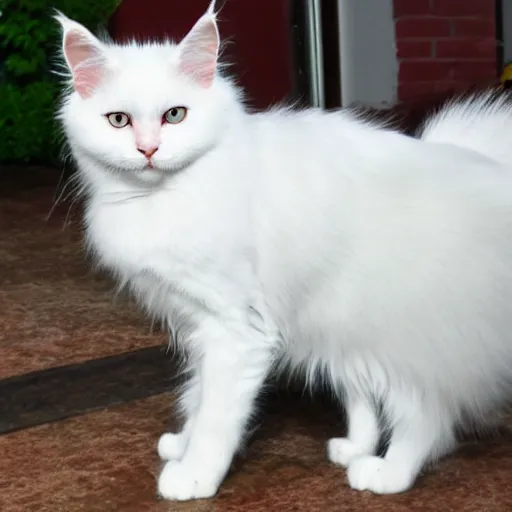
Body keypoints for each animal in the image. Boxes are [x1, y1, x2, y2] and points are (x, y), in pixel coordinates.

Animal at [57, 2, 512, 502]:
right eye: (118, 120)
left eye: (175, 115)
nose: (148, 150)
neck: (165, 196)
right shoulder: (197, 325)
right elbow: (197, 395)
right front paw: (183, 444)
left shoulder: (235, 329)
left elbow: (216, 416)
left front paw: (196, 474)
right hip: (342, 327)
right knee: (365, 398)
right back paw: (354, 447)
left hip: (403, 339)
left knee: (427, 420)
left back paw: (387, 473)